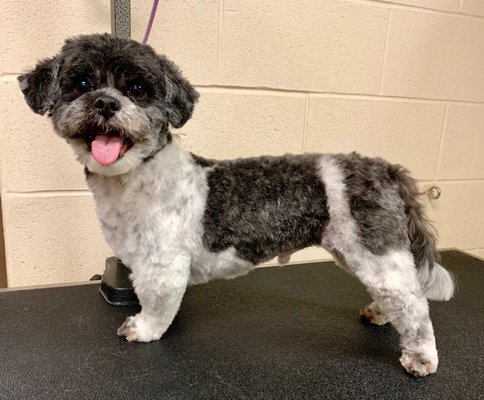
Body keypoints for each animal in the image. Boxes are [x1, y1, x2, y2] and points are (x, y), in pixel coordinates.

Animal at [17, 32, 454, 376]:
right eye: (82, 83)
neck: (135, 176)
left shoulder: (162, 266)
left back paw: (421, 358)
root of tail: (385, 168)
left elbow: (157, 306)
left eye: (138, 89)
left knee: (414, 305)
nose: (106, 103)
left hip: (375, 248)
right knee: (396, 295)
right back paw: (380, 312)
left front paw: (142, 329)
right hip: (359, 251)